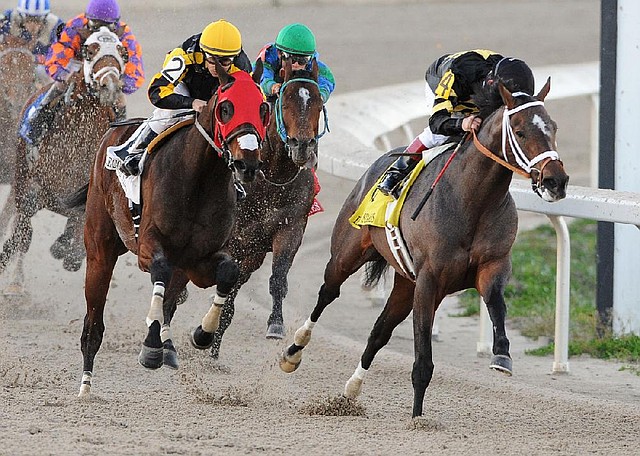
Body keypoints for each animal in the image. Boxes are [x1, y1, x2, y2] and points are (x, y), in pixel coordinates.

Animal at [0, 26, 129, 294]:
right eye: (89, 51)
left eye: (123, 53)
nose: (110, 85)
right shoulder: (32, 189)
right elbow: (22, 234)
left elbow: (73, 246)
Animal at [70, 62, 270, 398]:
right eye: (226, 108)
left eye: (263, 108)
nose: (248, 164)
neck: (198, 178)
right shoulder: (148, 247)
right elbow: (159, 272)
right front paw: (151, 348)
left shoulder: (198, 261)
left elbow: (228, 272)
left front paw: (202, 333)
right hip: (100, 248)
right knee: (93, 324)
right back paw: (85, 385)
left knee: (170, 300)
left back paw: (168, 347)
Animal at [211, 58, 330, 356]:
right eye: (285, 103)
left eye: (318, 104)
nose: (302, 145)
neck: (273, 176)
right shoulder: (235, 237)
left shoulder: (290, 228)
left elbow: (278, 277)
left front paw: (275, 325)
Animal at [280, 77, 568, 416]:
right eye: (521, 131)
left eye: (553, 127)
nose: (556, 181)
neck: (472, 201)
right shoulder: (429, 281)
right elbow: (422, 361)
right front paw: (417, 418)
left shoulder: (491, 266)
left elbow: (497, 305)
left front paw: (501, 355)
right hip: (347, 254)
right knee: (328, 292)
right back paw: (293, 351)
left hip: (406, 283)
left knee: (379, 331)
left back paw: (351, 390)